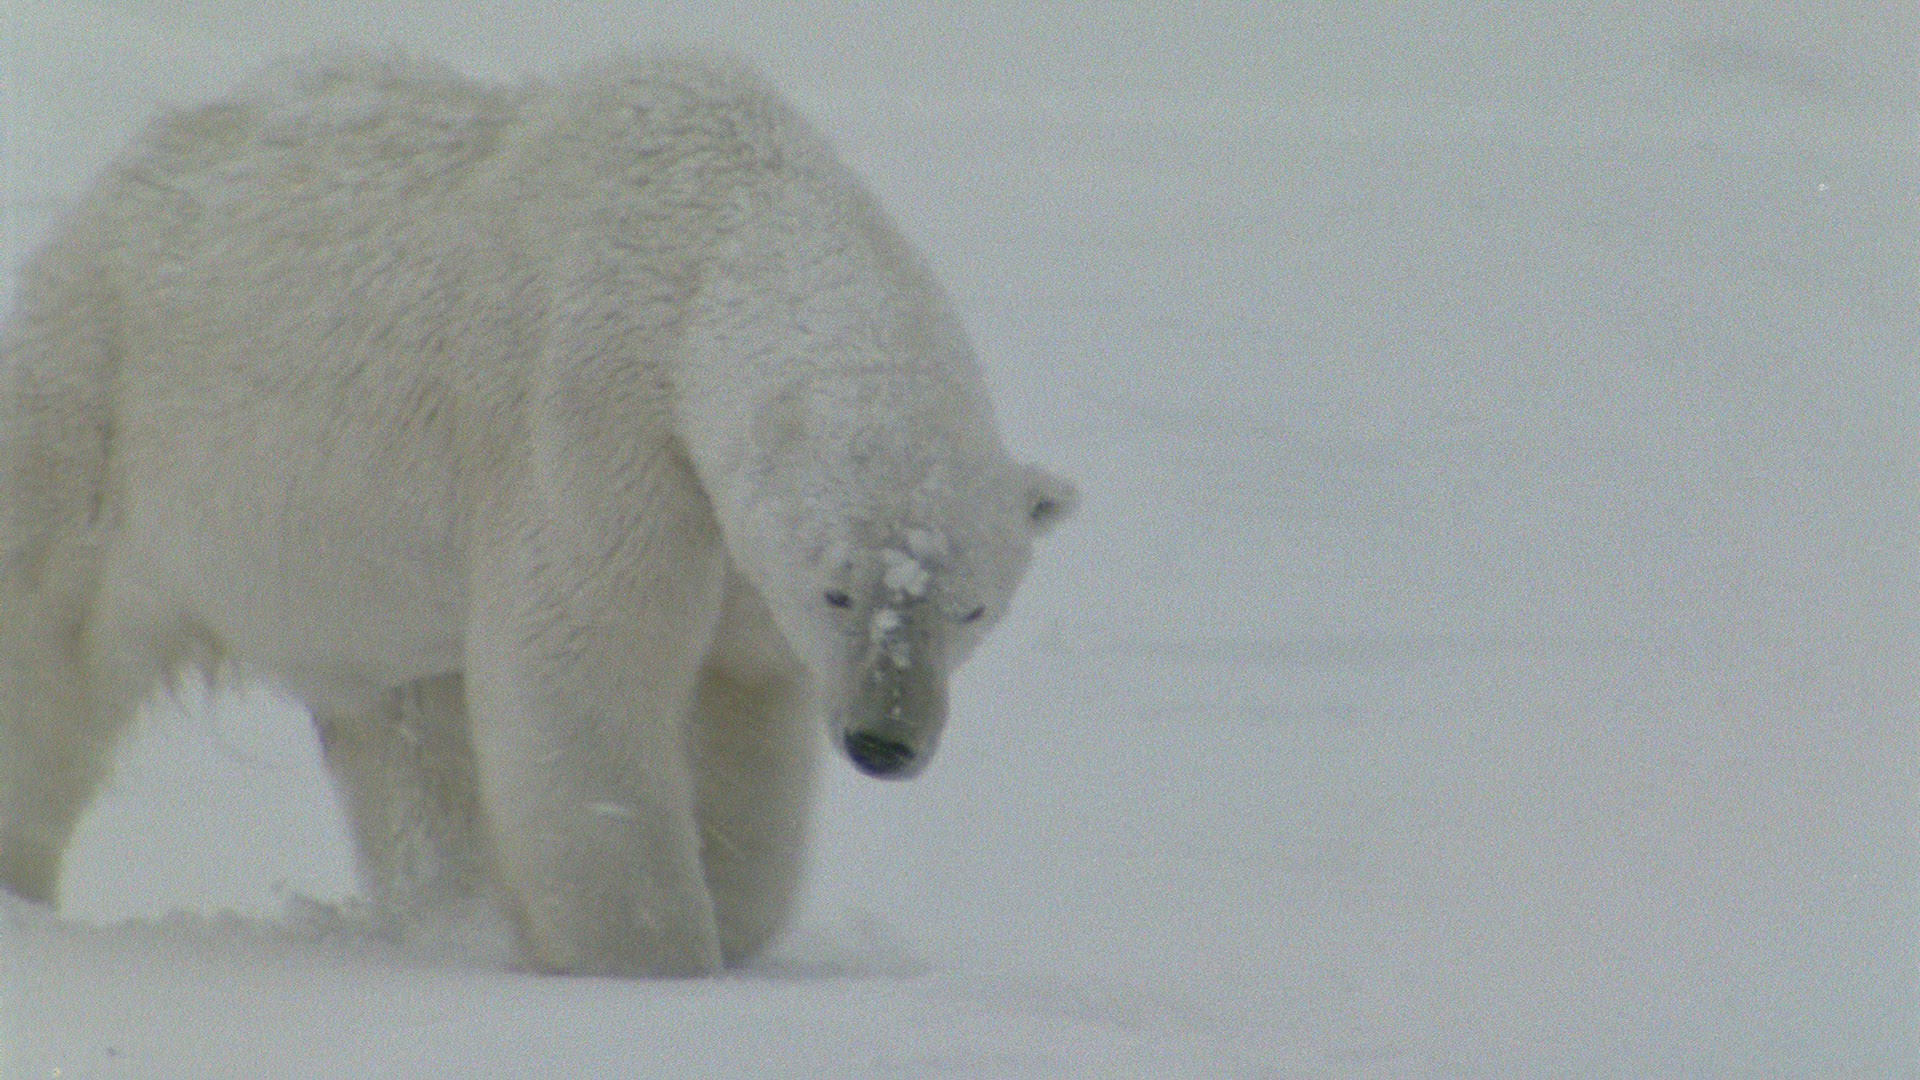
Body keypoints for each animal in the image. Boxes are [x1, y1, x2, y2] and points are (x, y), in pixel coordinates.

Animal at [0, 50, 1074, 977]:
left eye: (972, 606)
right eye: (839, 591)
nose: (886, 742)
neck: (714, 223)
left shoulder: (733, 559)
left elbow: (742, 717)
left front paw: (731, 921)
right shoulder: (595, 421)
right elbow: (586, 673)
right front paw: (652, 955)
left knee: (410, 728)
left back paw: (450, 914)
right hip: (105, 414)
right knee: (49, 655)